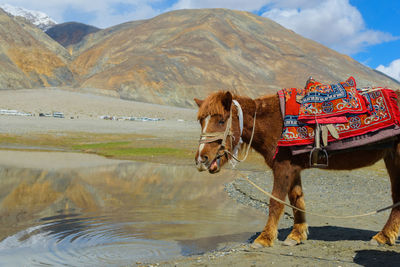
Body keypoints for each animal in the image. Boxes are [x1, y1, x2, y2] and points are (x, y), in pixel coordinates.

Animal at [194, 91, 400, 248]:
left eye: (221, 121)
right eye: (201, 122)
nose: (201, 159)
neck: (274, 124)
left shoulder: (282, 168)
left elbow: (275, 202)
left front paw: (264, 239)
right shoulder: (293, 169)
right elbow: (296, 200)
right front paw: (296, 236)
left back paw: (382, 236)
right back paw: (385, 236)